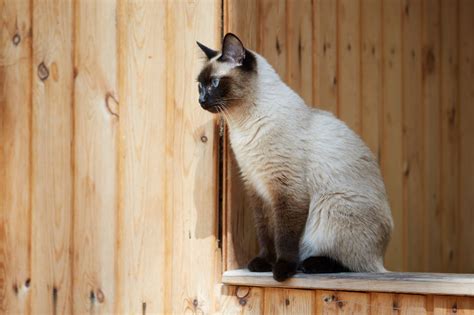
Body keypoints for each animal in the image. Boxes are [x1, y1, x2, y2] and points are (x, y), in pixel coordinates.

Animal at [196, 34, 392, 282]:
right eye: (199, 85)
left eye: (213, 83)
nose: (201, 100)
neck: (242, 126)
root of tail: (381, 257)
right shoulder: (258, 190)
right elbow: (266, 233)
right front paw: (263, 263)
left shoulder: (287, 189)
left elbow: (285, 236)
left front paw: (281, 270)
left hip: (332, 207)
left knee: (355, 265)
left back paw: (310, 265)